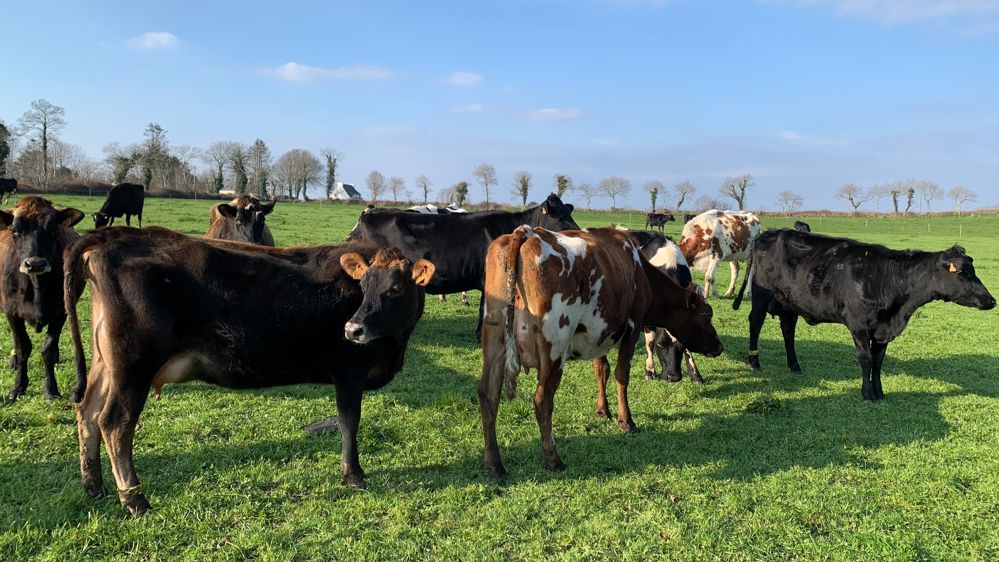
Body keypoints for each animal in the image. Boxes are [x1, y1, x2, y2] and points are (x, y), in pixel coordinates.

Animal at [0, 197, 84, 401]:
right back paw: (13, 361)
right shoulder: (11, 312)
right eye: (15, 231)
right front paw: (18, 388)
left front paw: (51, 389)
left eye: (52, 230)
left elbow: (48, 349)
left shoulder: (61, 311)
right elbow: (23, 347)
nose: (35, 264)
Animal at [63, 227, 435, 515]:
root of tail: (118, 236)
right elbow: (349, 422)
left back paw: (93, 486)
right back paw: (135, 500)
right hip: (134, 366)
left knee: (87, 411)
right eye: (364, 285)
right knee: (115, 424)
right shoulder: (348, 372)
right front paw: (353, 474)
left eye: (395, 288)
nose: (352, 328)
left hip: (106, 363)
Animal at [626, 229, 704, 383]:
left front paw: (695, 374)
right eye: (660, 345)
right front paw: (649, 371)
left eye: (682, 345)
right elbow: (650, 342)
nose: (673, 377)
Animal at [732, 229, 996, 401]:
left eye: (972, 270)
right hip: (761, 294)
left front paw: (880, 392)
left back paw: (794, 366)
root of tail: (766, 233)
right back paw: (754, 362)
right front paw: (867, 393)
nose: (991, 300)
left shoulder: (882, 329)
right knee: (755, 323)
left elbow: (878, 361)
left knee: (788, 330)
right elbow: (866, 359)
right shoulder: (858, 324)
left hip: (789, 303)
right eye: (961, 272)